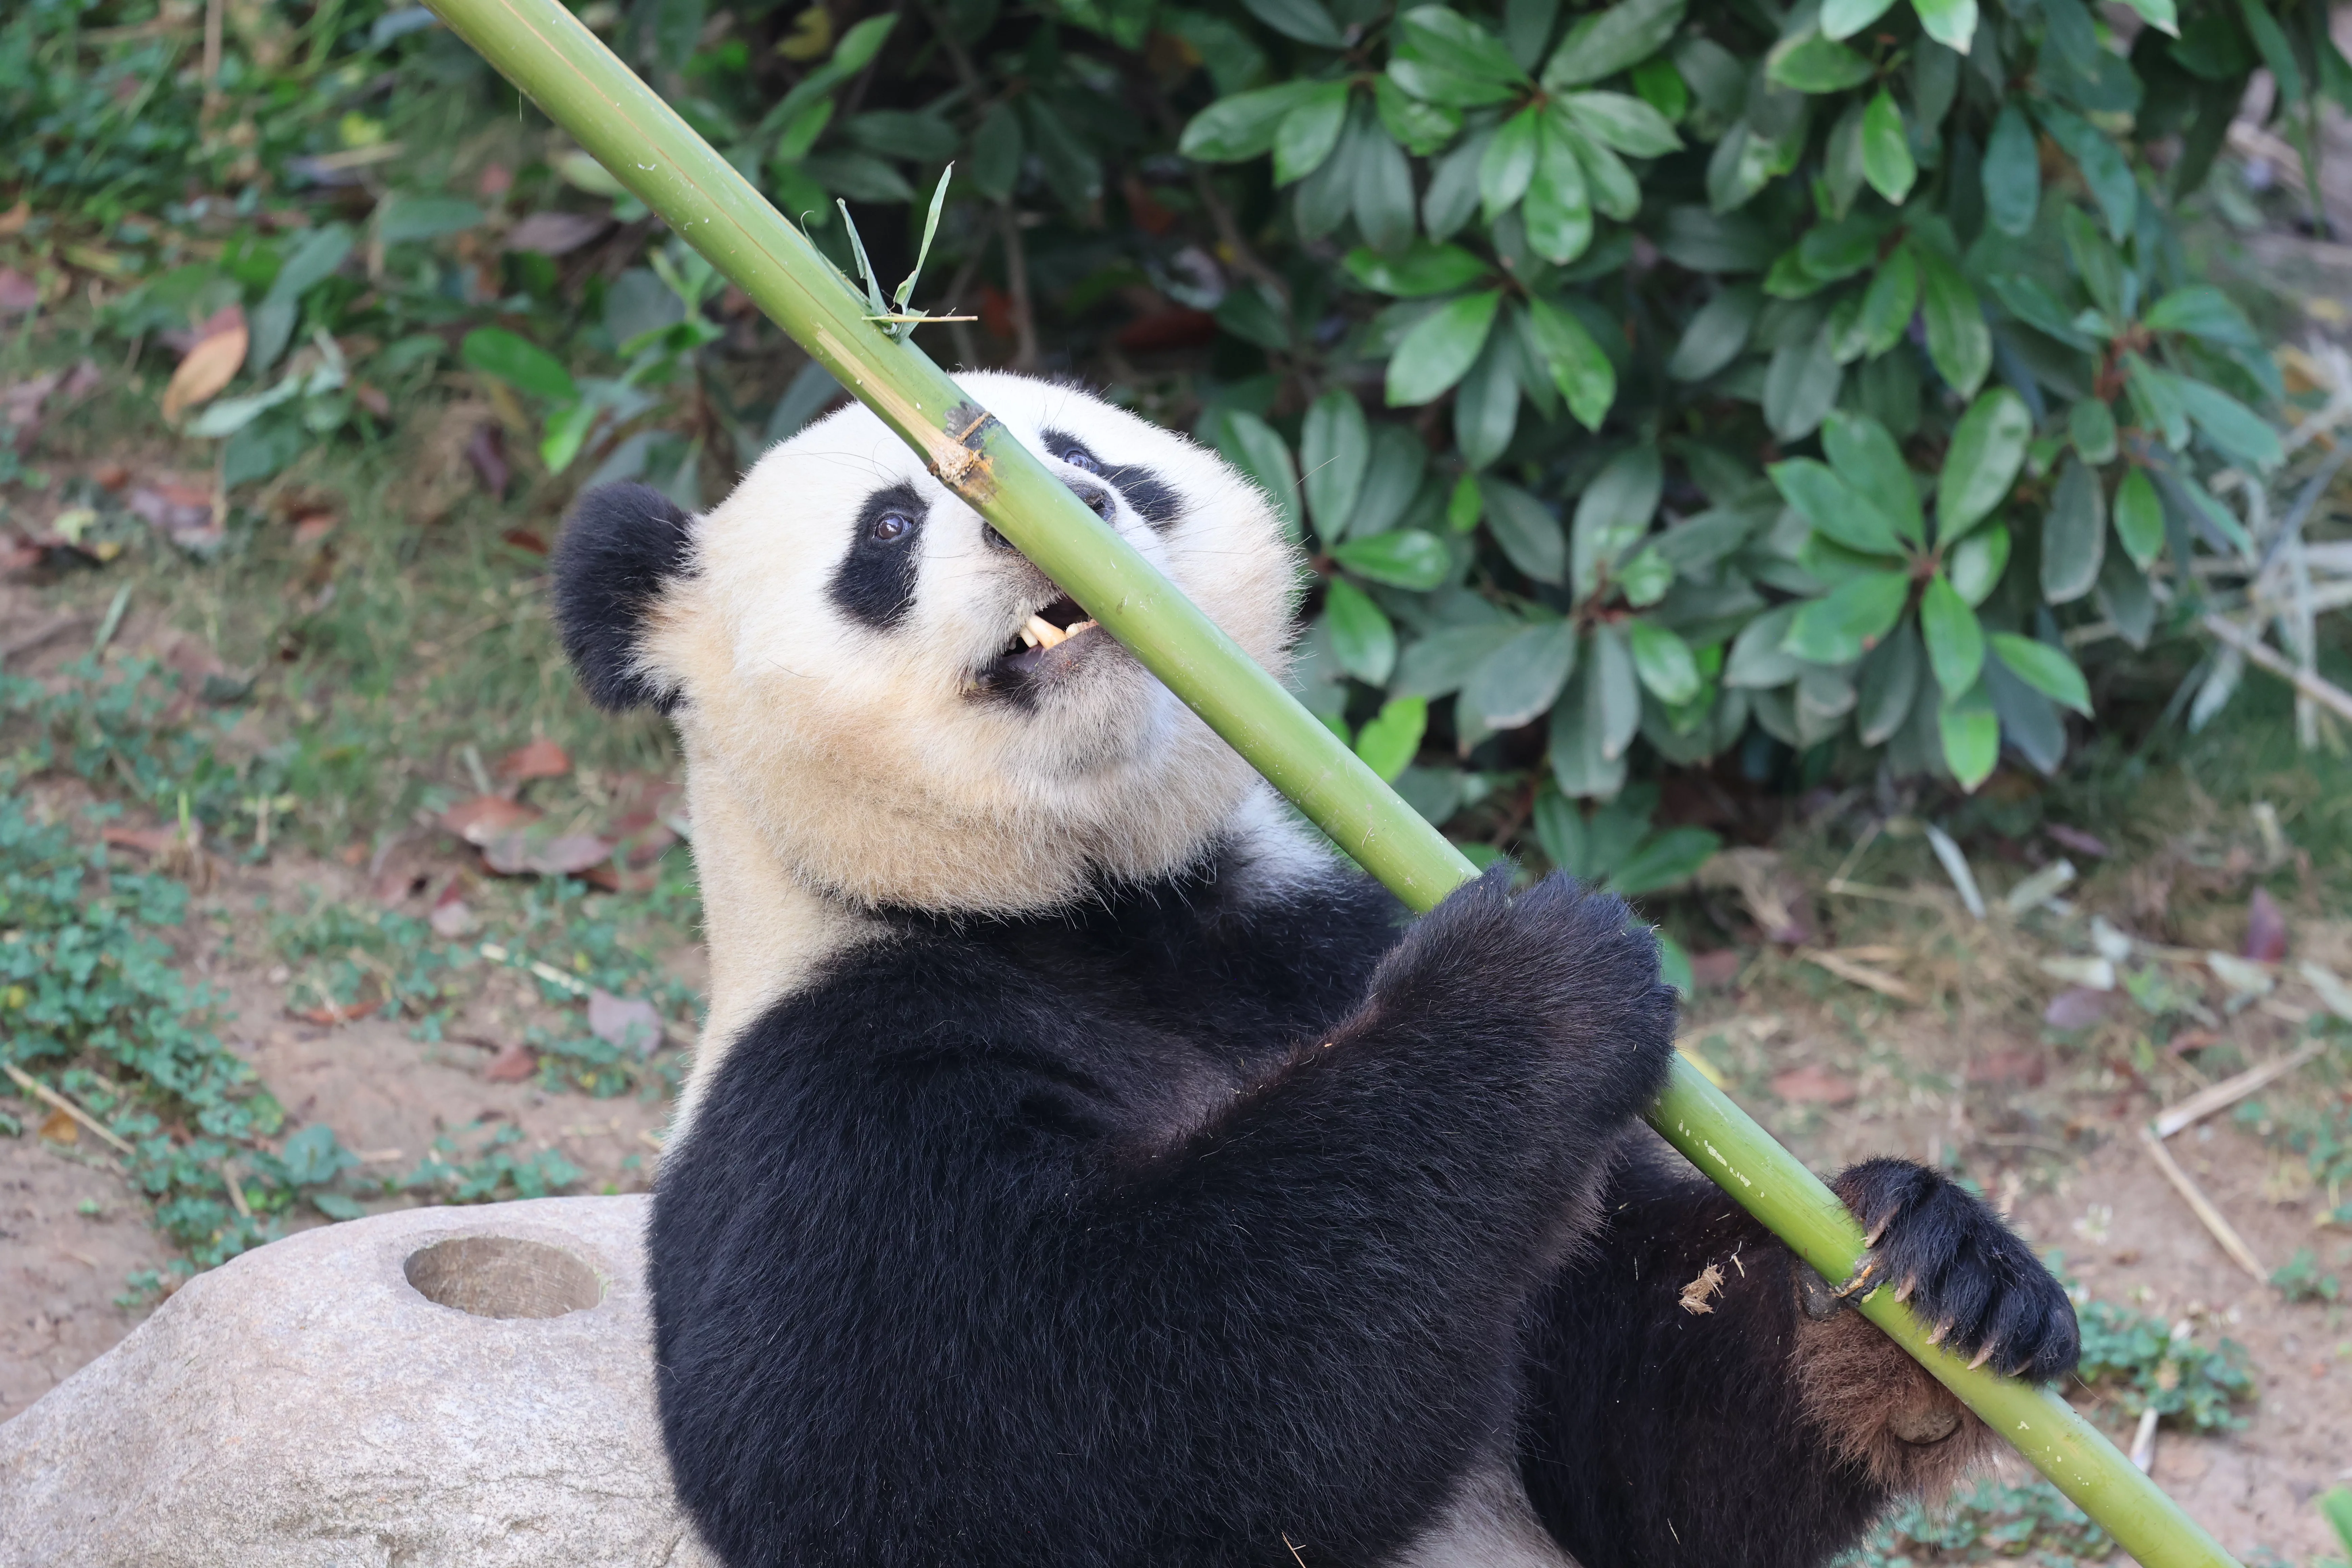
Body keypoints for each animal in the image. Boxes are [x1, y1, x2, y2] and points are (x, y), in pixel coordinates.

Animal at [550, 372, 2078, 1568]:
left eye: (1093, 455)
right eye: (886, 527)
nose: (1056, 506)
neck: (1084, 912)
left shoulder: (1299, 943)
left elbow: (1640, 1455)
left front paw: (1932, 1274)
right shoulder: (828, 1090)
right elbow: (1031, 1436)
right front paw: (1536, 989)